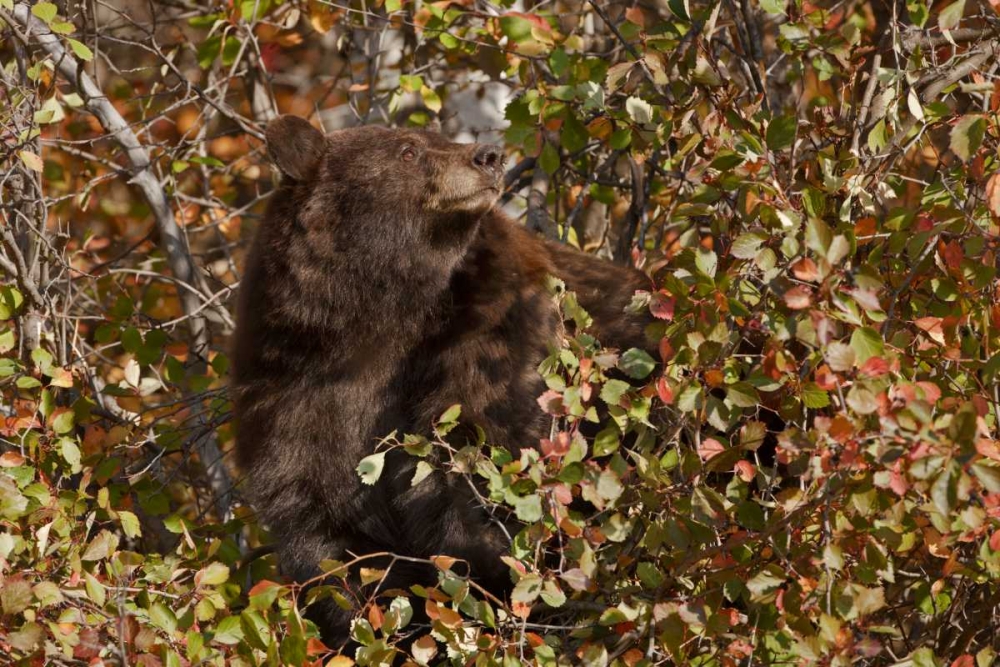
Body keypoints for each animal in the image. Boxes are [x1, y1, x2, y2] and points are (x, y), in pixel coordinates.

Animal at [234, 116, 656, 640]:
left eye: (437, 138)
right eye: (408, 150)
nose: (489, 156)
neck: (378, 313)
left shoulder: (493, 334)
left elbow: (481, 467)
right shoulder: (289, 386)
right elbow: (324, 534)